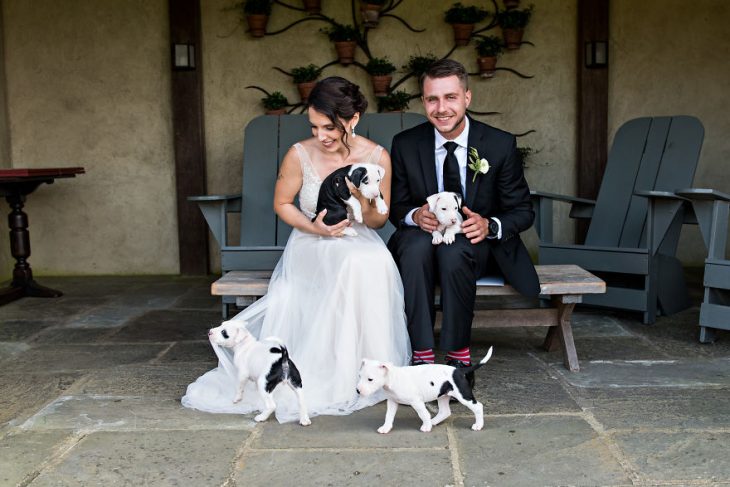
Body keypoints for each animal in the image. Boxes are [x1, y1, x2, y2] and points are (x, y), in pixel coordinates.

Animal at [356, 346, 492, 434]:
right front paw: (386, 427)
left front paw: (426, 427)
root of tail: (458, 370)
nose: (357, 390)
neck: (394, 378)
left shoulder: (416, 402)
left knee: (478, 407)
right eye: (359, 376)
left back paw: (478, 425)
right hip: (443, 396)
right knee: (445, 412)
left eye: (370, 379)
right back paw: (433, 422)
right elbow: (388, 415)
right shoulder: (392, 402)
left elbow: (423, 414)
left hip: (463, 395)